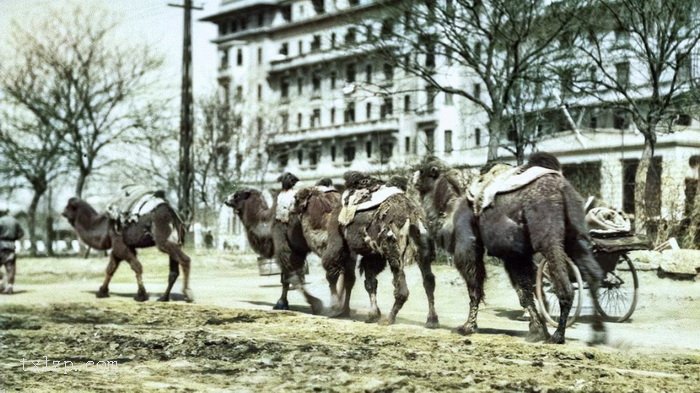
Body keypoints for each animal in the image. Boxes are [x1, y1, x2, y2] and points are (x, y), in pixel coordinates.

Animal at [61, 196, 193, 300]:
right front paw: (102, 292)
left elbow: (136, 267)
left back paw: (188, 294)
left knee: (185, 259)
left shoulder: (121, 244)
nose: (62, 213)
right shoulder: (121, 247)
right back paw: (163, 298)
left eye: (68, 207)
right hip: (176, 241)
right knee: (174, 271)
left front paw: (141, 295)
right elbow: (111, 268)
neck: (104, 227)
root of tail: (173, 214)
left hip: (163, 240)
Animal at [318, 172, 438, 328]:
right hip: (423, 249)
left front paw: (335, 310)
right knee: (429, 281)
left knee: (401, 288)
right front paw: (372, 315)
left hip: (393, 250)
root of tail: (412, 216)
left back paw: (388, 319)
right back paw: (431, 320)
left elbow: (332, 269)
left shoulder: (337, 237)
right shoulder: (373, 254)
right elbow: (370, 282)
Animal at [412, 153, 604, 344]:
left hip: (547, 232)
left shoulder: (468, 245)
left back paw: (558, 336)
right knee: (593, 275)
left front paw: (467, 327)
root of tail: (561, 186)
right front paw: (536, 331)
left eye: (423, 170)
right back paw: (597, 333)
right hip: (577, 232)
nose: (413, 177)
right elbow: (524, 293)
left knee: (565, 284)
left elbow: (475, 287)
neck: (451, 210)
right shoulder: (514, 255)